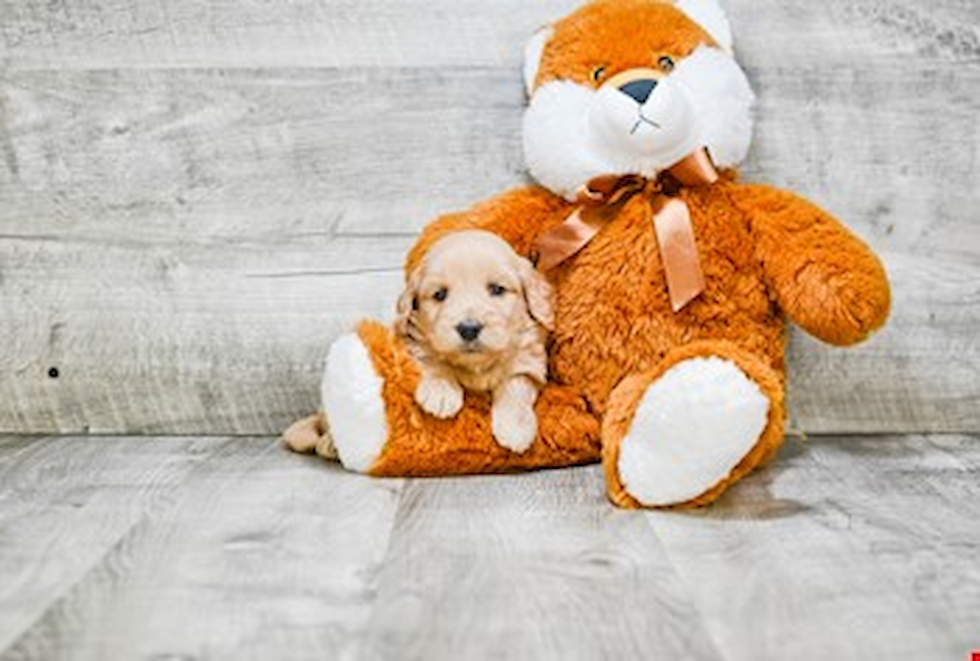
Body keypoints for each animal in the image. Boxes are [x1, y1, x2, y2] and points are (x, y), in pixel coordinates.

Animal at [394, 229, 556, 452]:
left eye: (497, 289)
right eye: (439, 294)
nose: (469, 329)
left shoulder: (530, 361)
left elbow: (515, 385)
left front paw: (515, 426)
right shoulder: (414, 341)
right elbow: (431, 359)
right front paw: (440, 389)